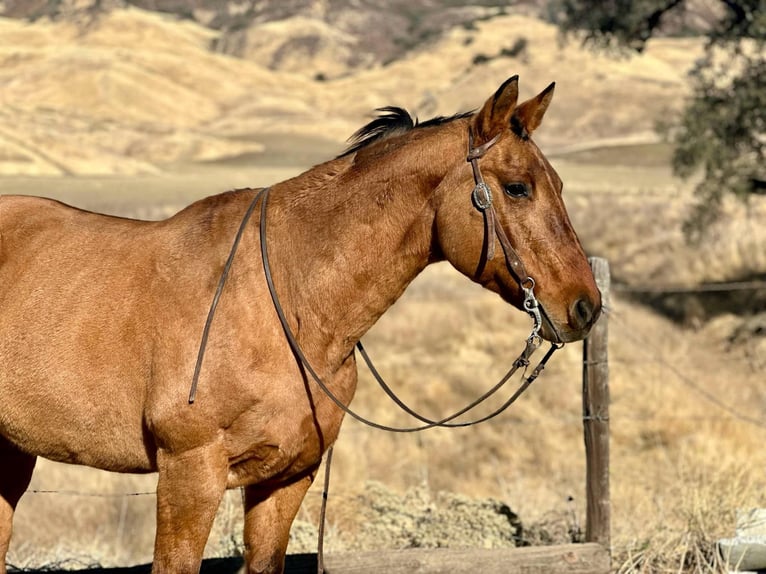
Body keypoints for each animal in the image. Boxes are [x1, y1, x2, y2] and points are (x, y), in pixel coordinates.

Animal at [0, 75, 601, 574]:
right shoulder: (189, 474)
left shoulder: (288, 477)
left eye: (559, 184)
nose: (585, 307)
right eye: (518, 187)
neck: (284, 301)